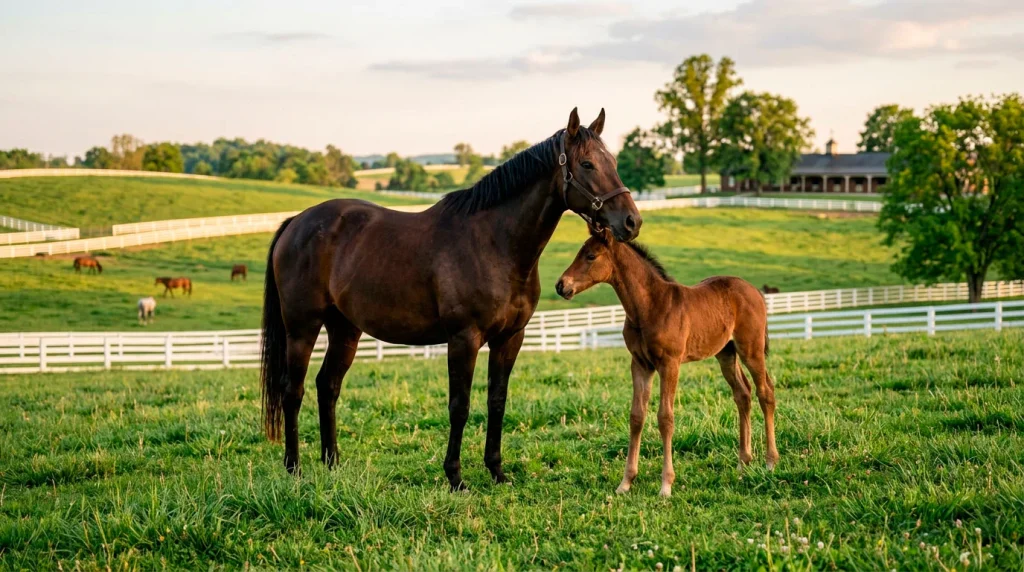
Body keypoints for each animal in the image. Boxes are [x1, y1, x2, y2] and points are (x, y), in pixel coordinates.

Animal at [261, 108, 642, 488]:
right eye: (588, 164)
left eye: (613, 162)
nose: (632, 221)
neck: (494, 243)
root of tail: (295, 222)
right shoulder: (464, 338)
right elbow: (460, 406)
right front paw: (455, 476)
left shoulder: (510, 338)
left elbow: (497, 401)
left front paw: (497, 471)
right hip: (302, 328)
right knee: (292, 391)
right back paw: (294, 467)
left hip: (345, 330)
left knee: (328, 386)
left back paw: (332, 463)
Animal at [556, 228, 778, 497]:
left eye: (590, 256)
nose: (561, 285)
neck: (650, 306)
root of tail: (755, 291)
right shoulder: (640, 364)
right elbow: (636, 416)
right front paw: (625, 482)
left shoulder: (669, 364)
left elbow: (665, 418)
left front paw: (666, 486)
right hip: (726, 353)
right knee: (742, 394)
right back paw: (743, 462)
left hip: (751, 349)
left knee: (765, 392)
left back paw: (770, 461)